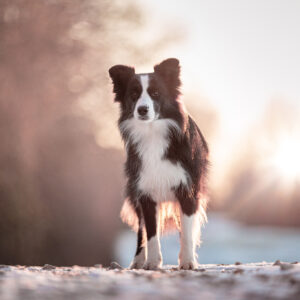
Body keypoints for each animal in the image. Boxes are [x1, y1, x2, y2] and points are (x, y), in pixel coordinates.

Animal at [108, 58, 209, 270]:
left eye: (155, 93)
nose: (142, 109)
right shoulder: (145, 193)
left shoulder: (188, 191)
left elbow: (187, 232)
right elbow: (151, 233)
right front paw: (152, 262)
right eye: (134, 94)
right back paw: (138, 260)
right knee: (141, 230)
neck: (152, 131)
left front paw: (188, 261)